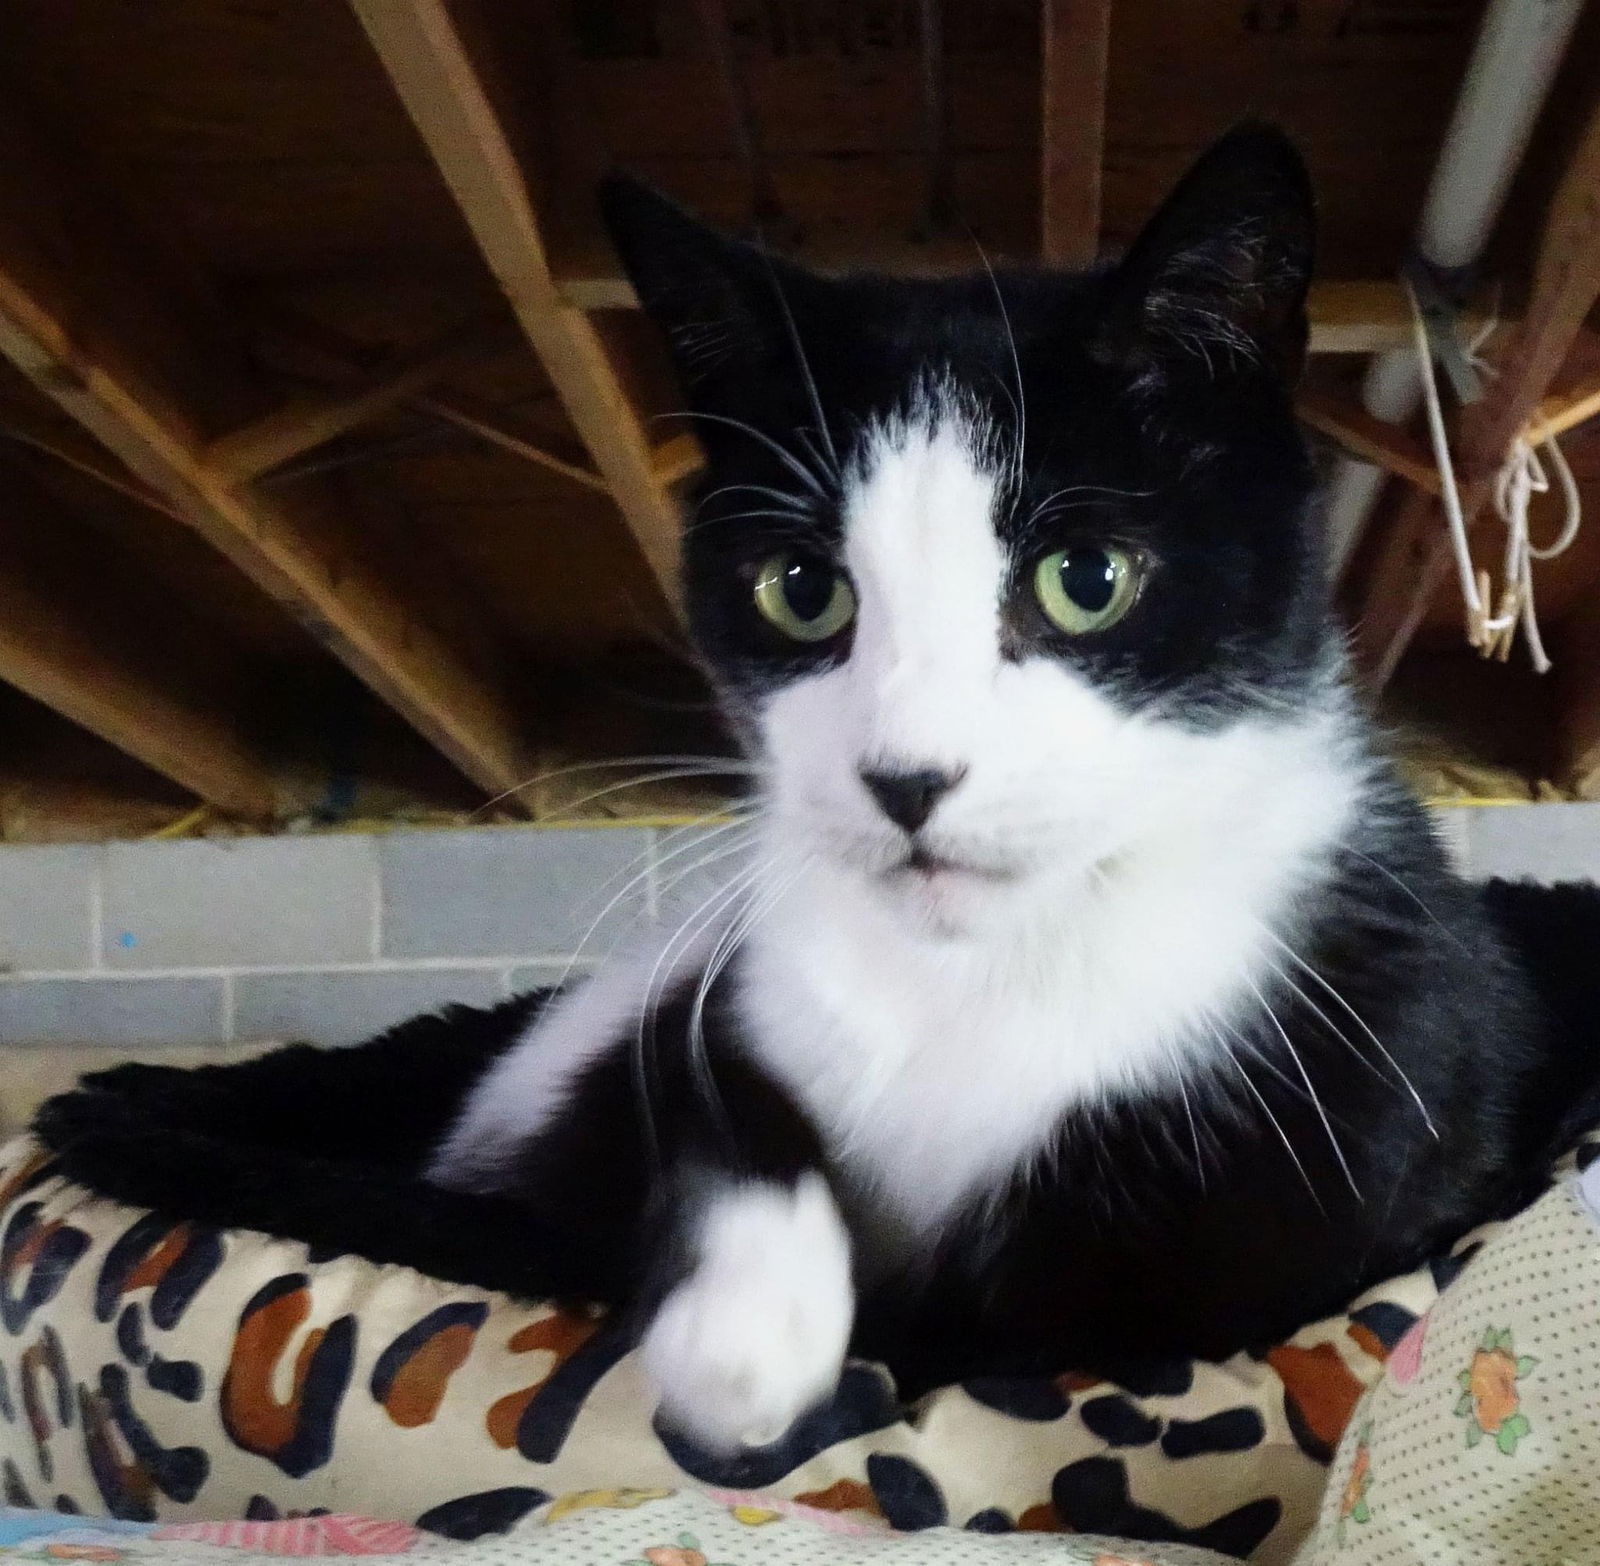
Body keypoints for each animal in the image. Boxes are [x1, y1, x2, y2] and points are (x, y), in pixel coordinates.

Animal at [425, 131, 1600, 1458]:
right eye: (800, 589)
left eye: (1086, 579)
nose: (905, 779)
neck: (980, 970)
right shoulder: (688, 1022)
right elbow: (706, 1115)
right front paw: (744, 1330)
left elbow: (1066, 1308)